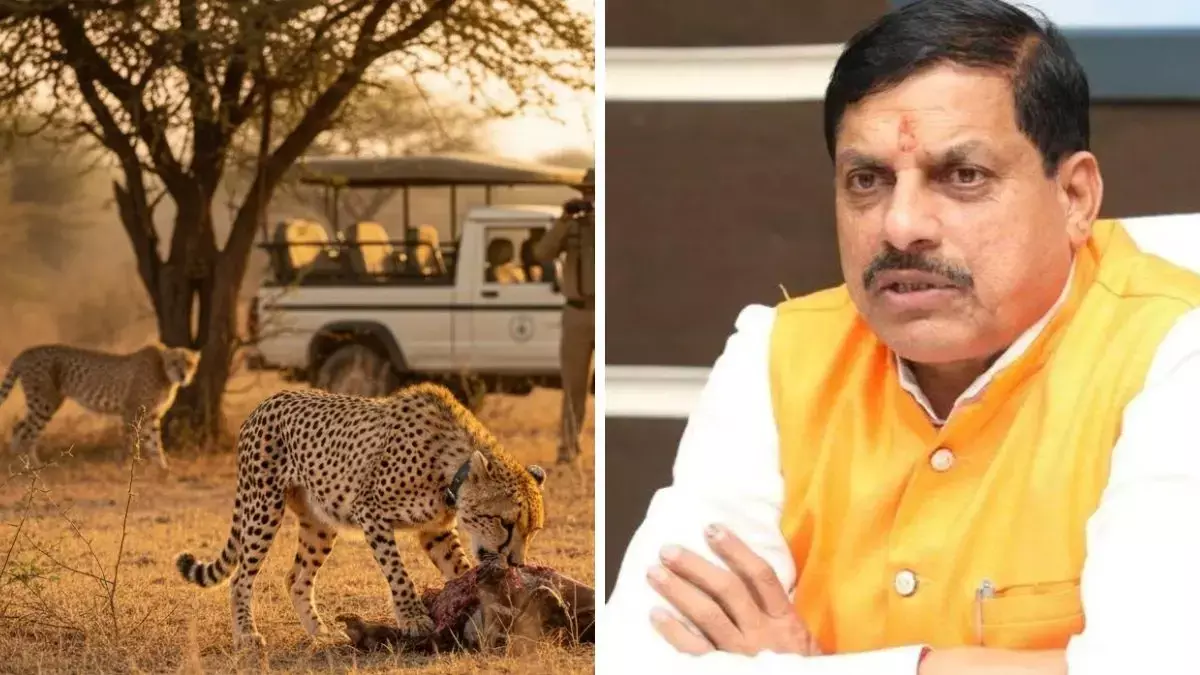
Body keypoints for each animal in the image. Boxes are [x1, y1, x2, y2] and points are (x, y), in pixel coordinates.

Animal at [0, 343, 200, 469]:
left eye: (189, 363)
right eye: (175, 362)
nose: (183, 375)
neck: (164, 373)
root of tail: (26, 352)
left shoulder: (151, 415)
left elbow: (154, 443)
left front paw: (163, 469)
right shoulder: (132, 411)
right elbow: (129, 441)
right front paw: (123, 466)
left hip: (43, 402)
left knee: (19, 426)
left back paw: (18, 462)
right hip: (45, 401)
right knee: (28, 432)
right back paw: (33, 466)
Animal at [173, 381, 548, 650]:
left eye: (533, 531)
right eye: (506, 522)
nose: (516, 563)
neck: (452, 470)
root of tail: (267, 401)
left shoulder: (435, 530)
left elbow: (458, 569)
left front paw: (474, 603)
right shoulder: (370, 511)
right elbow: (399, 573)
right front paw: (413, 618)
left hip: (320, 522)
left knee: (296, 577)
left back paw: (321, 633)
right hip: (263, 506)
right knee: (241, 577)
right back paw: (247, 635)